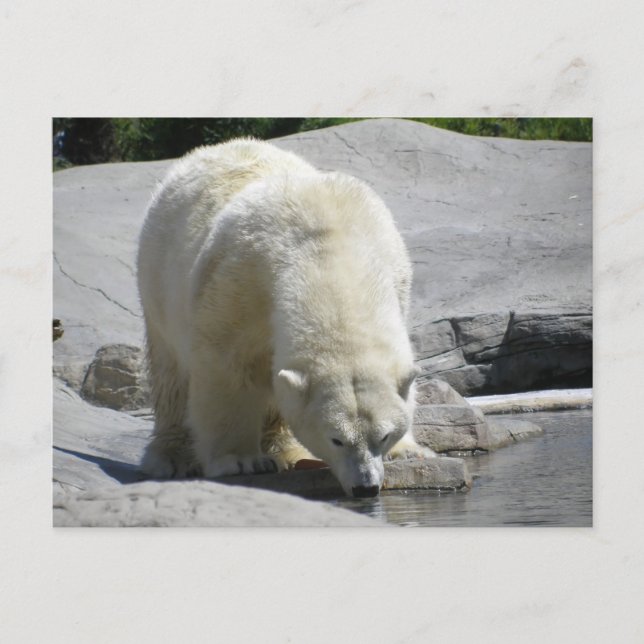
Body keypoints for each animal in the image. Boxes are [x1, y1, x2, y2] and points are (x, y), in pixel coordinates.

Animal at [137, 138, 435, 498]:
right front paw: (240, 460)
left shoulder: (394, 272)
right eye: (336, 439)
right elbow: (226, 366)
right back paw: (173, 457)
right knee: (172, 377)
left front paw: (407, 451)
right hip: (159, 280)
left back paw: (287, 453)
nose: (365, 487)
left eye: (384, 435)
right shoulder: (240, 281)